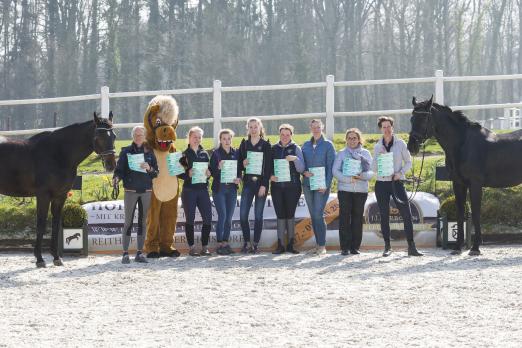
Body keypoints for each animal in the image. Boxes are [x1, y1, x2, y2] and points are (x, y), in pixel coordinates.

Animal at [0, 111, 116, 266]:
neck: (58, 153)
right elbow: (41, 223)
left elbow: (55, 223)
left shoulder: (60, 196)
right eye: (98, 137)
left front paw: (56, 257)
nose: (111, 165)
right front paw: (39, 259)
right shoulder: (43, 195)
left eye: (114, 136)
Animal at [408, 95, 522, 256]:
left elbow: (475, 212)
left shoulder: (475, 184)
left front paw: (475, 247)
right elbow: (460, 213)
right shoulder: (458, 183)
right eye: (412, 119)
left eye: (424, 119)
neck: (463, 144)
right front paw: (457, 247)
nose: (411, 146)